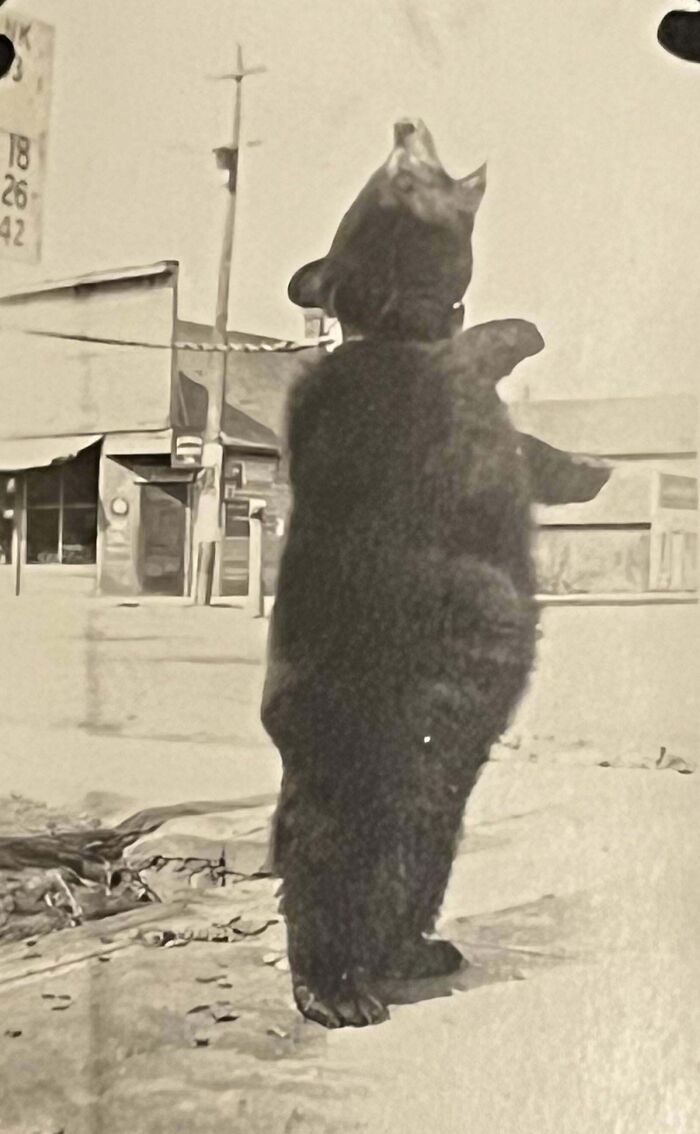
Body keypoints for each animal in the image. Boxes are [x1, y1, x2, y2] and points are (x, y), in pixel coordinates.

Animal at [261, 119, 610, 1029]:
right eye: (396, 180)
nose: (404, 123)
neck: (393, 330)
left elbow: (530, 450)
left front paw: (590, 471)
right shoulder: (411, 402)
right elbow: (469, 359)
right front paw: (521, 330)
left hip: (436, 825)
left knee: (408, 880)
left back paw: (415, 953)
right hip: (349, 767)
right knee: (322, 875)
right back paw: (336, 993)